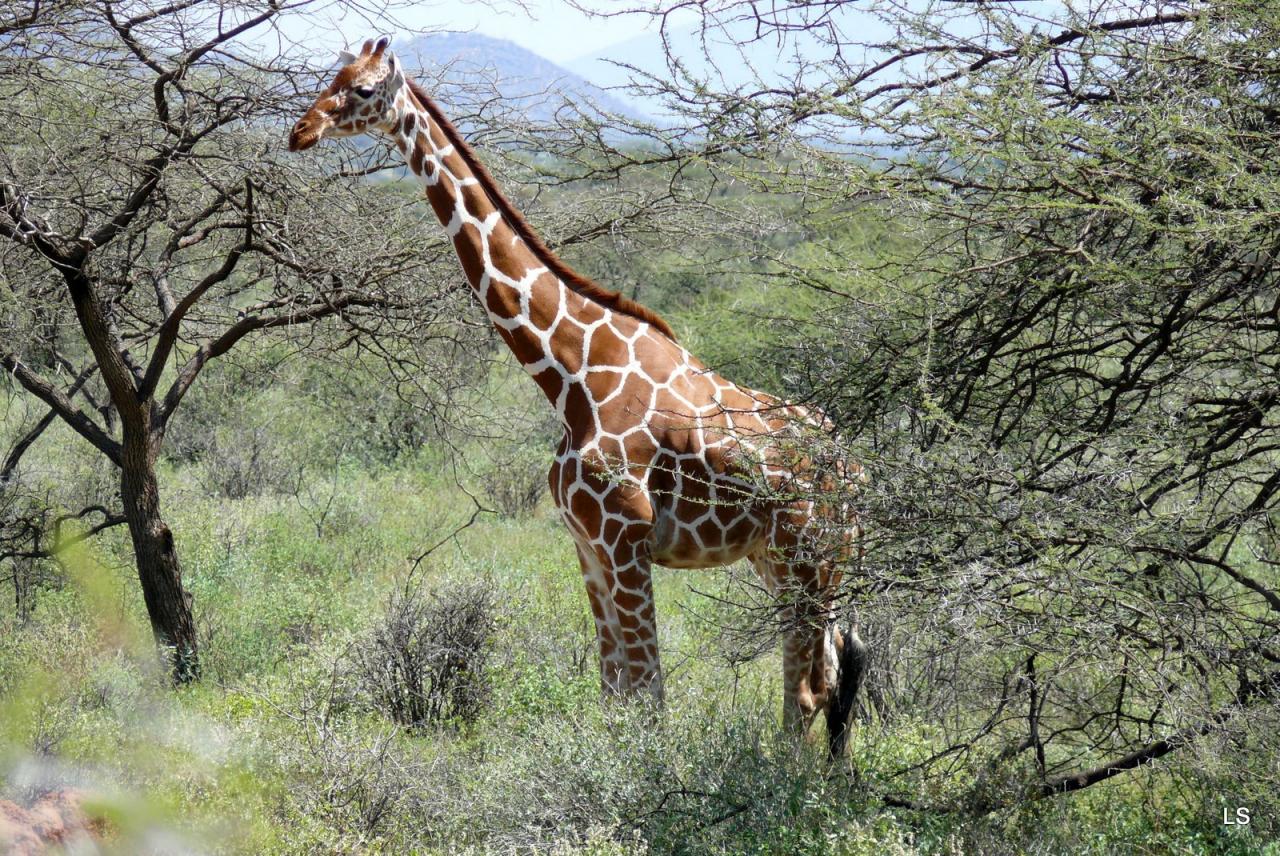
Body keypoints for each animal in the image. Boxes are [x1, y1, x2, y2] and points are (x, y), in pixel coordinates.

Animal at [290, 36, 870, 752]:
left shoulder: (626, 538)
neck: (571, 379)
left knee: (812, 685)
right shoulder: (587, 545)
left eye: (366, 89)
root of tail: (860, 469)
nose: (300, 131)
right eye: (331, 77)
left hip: (812, 557)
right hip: (788, 562)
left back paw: (794, 782)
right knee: (835, 670)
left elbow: (648, 692)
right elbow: (614, 690)